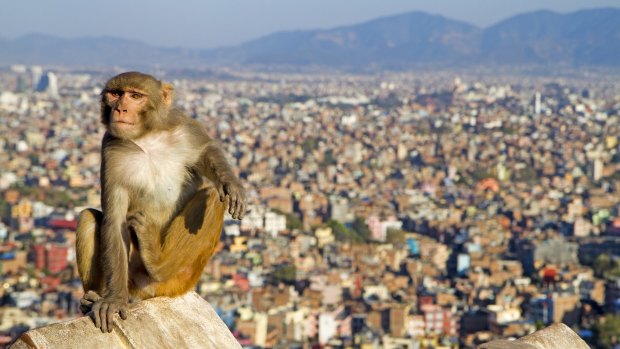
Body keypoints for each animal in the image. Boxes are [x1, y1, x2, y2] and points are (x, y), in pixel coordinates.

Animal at [75, 71, 245, 332]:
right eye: (116, 94)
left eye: (135, 96)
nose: (120, 109)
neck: (147, 138)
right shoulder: (111, 149)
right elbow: (114, 221)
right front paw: (113, 300)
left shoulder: (182, 126)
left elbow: (206, 151)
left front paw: (230, 182)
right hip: (132, 279)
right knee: (89, 217)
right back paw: (94, 297)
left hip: (181, 278)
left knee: (212, 198)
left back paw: (157, 263)